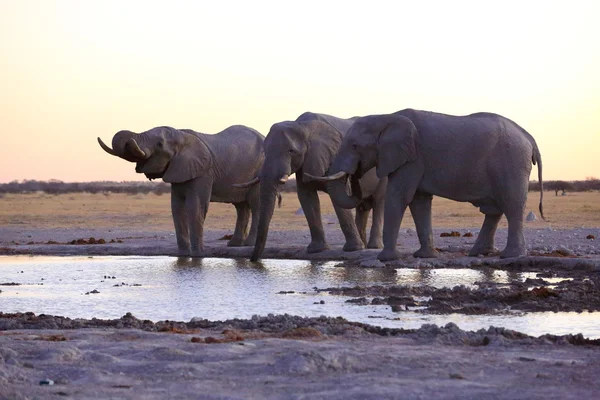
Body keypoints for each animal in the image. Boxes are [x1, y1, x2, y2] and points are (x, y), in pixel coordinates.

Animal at [97, 125, 264, 256]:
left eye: (159, 144)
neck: (182, 136)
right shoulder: (179, 169)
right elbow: (177, 207)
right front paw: (183, 256)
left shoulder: (203, 172)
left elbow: (195, 206)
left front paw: (198, 256)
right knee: (241, 207)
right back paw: (234, 244)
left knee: (256, 205)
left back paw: (248, 244)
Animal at [232, 112, 386, 262]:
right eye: (265, 151)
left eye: (291, 151)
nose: (253, 260)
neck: (303, 126)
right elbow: (306, 197)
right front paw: (317, 250)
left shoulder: (330, 155)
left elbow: (338, 196)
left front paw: (353, 249)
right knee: (363, 208)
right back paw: (365, 245)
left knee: (379, 202)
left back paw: (373, 246)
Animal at [312, 108, 548, 260]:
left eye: (354, 146)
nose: (355, 173)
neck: (386, 117)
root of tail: (530, 137)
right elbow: (419, 202)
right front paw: (424, 257)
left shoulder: (412, 158)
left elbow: (399, 196)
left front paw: (386, 259)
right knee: (495, 210)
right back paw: (480, 253)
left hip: (511, 162)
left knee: (511, 205)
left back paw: (510, 256)